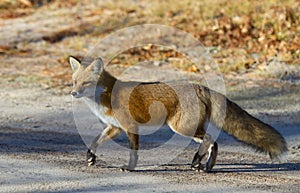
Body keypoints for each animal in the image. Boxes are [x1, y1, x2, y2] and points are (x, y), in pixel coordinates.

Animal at [69, 55, 288, 172]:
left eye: (85, 83)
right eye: (74, 82)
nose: (73, 93)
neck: (105, 98)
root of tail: (200, 86)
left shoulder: (130, 127)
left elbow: (133, 153)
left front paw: (130, 168)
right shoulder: (114, 127)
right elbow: (95, 141)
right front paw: (90, 157)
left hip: (183, 128)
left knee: (210, 139)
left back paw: (197, 162)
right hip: (189, 129)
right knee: (213, 142)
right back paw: (205, 166)